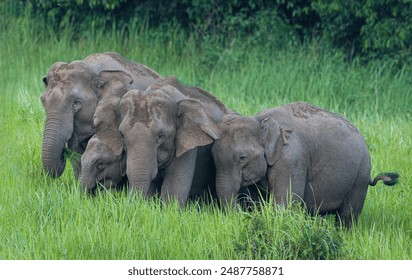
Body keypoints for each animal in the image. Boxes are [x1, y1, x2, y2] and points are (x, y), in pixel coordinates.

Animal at [211, 102, 398, 228]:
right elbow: (260, 202)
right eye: (213, 157)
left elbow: (286, 205)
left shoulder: (292, 159)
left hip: (361, 174)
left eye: (242, 158)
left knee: (347, 216)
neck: (259, 120)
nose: (239, 213)